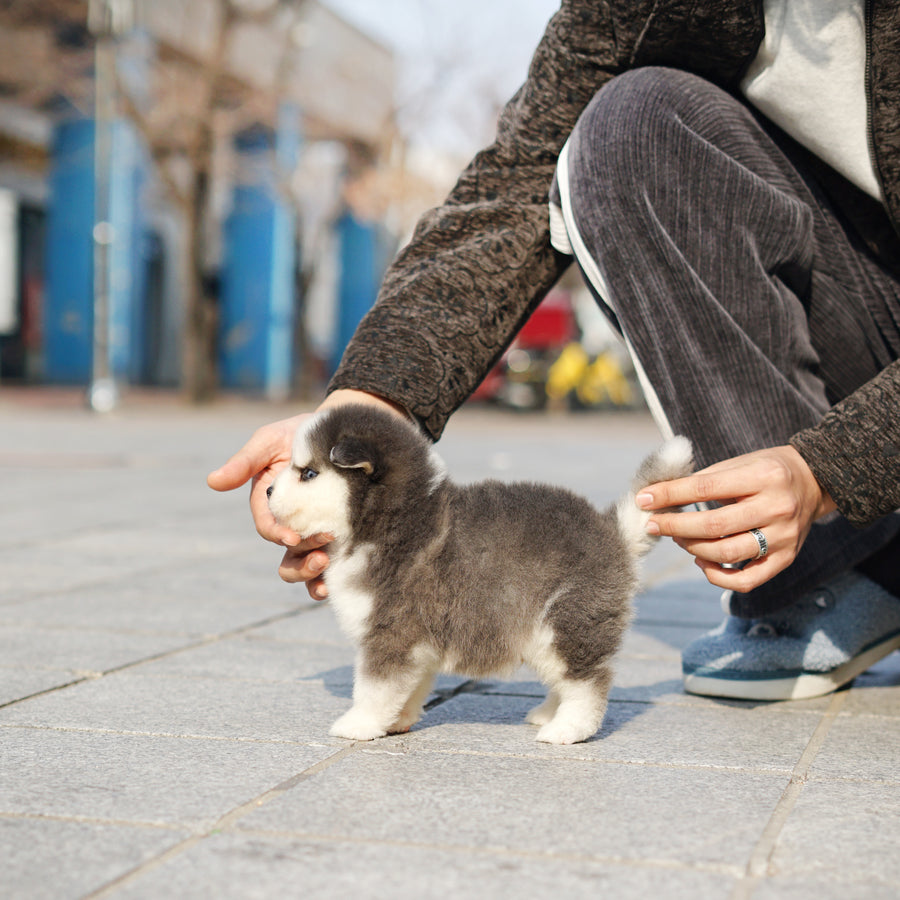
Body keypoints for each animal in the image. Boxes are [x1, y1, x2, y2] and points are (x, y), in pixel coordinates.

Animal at [266, 406, 688, 744]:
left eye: (308, 473)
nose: (267, 489)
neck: (391, 520)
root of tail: (611, 531)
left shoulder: (392, 630)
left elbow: (374, 687)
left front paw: (358, 724)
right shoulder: (417, 640)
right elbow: (410, 685)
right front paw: (398, 720)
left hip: (567, 620)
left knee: (588, 682)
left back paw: (566, 729)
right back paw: (546, 714)